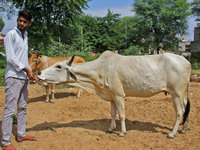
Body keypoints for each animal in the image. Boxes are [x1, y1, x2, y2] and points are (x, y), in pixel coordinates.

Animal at [36, 50, 191, 138]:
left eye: (58, 66)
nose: (39, 73)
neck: (99, 69)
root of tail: (186, 61)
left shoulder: (119, 95)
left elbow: (121, 115)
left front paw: (122, 132)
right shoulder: (111, 97)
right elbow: (112, 113)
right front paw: (111, 129)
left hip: (176, 93)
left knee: (179, 111)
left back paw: (172, 133)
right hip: (180, 94)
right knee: (185, 109)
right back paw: (184, 129)